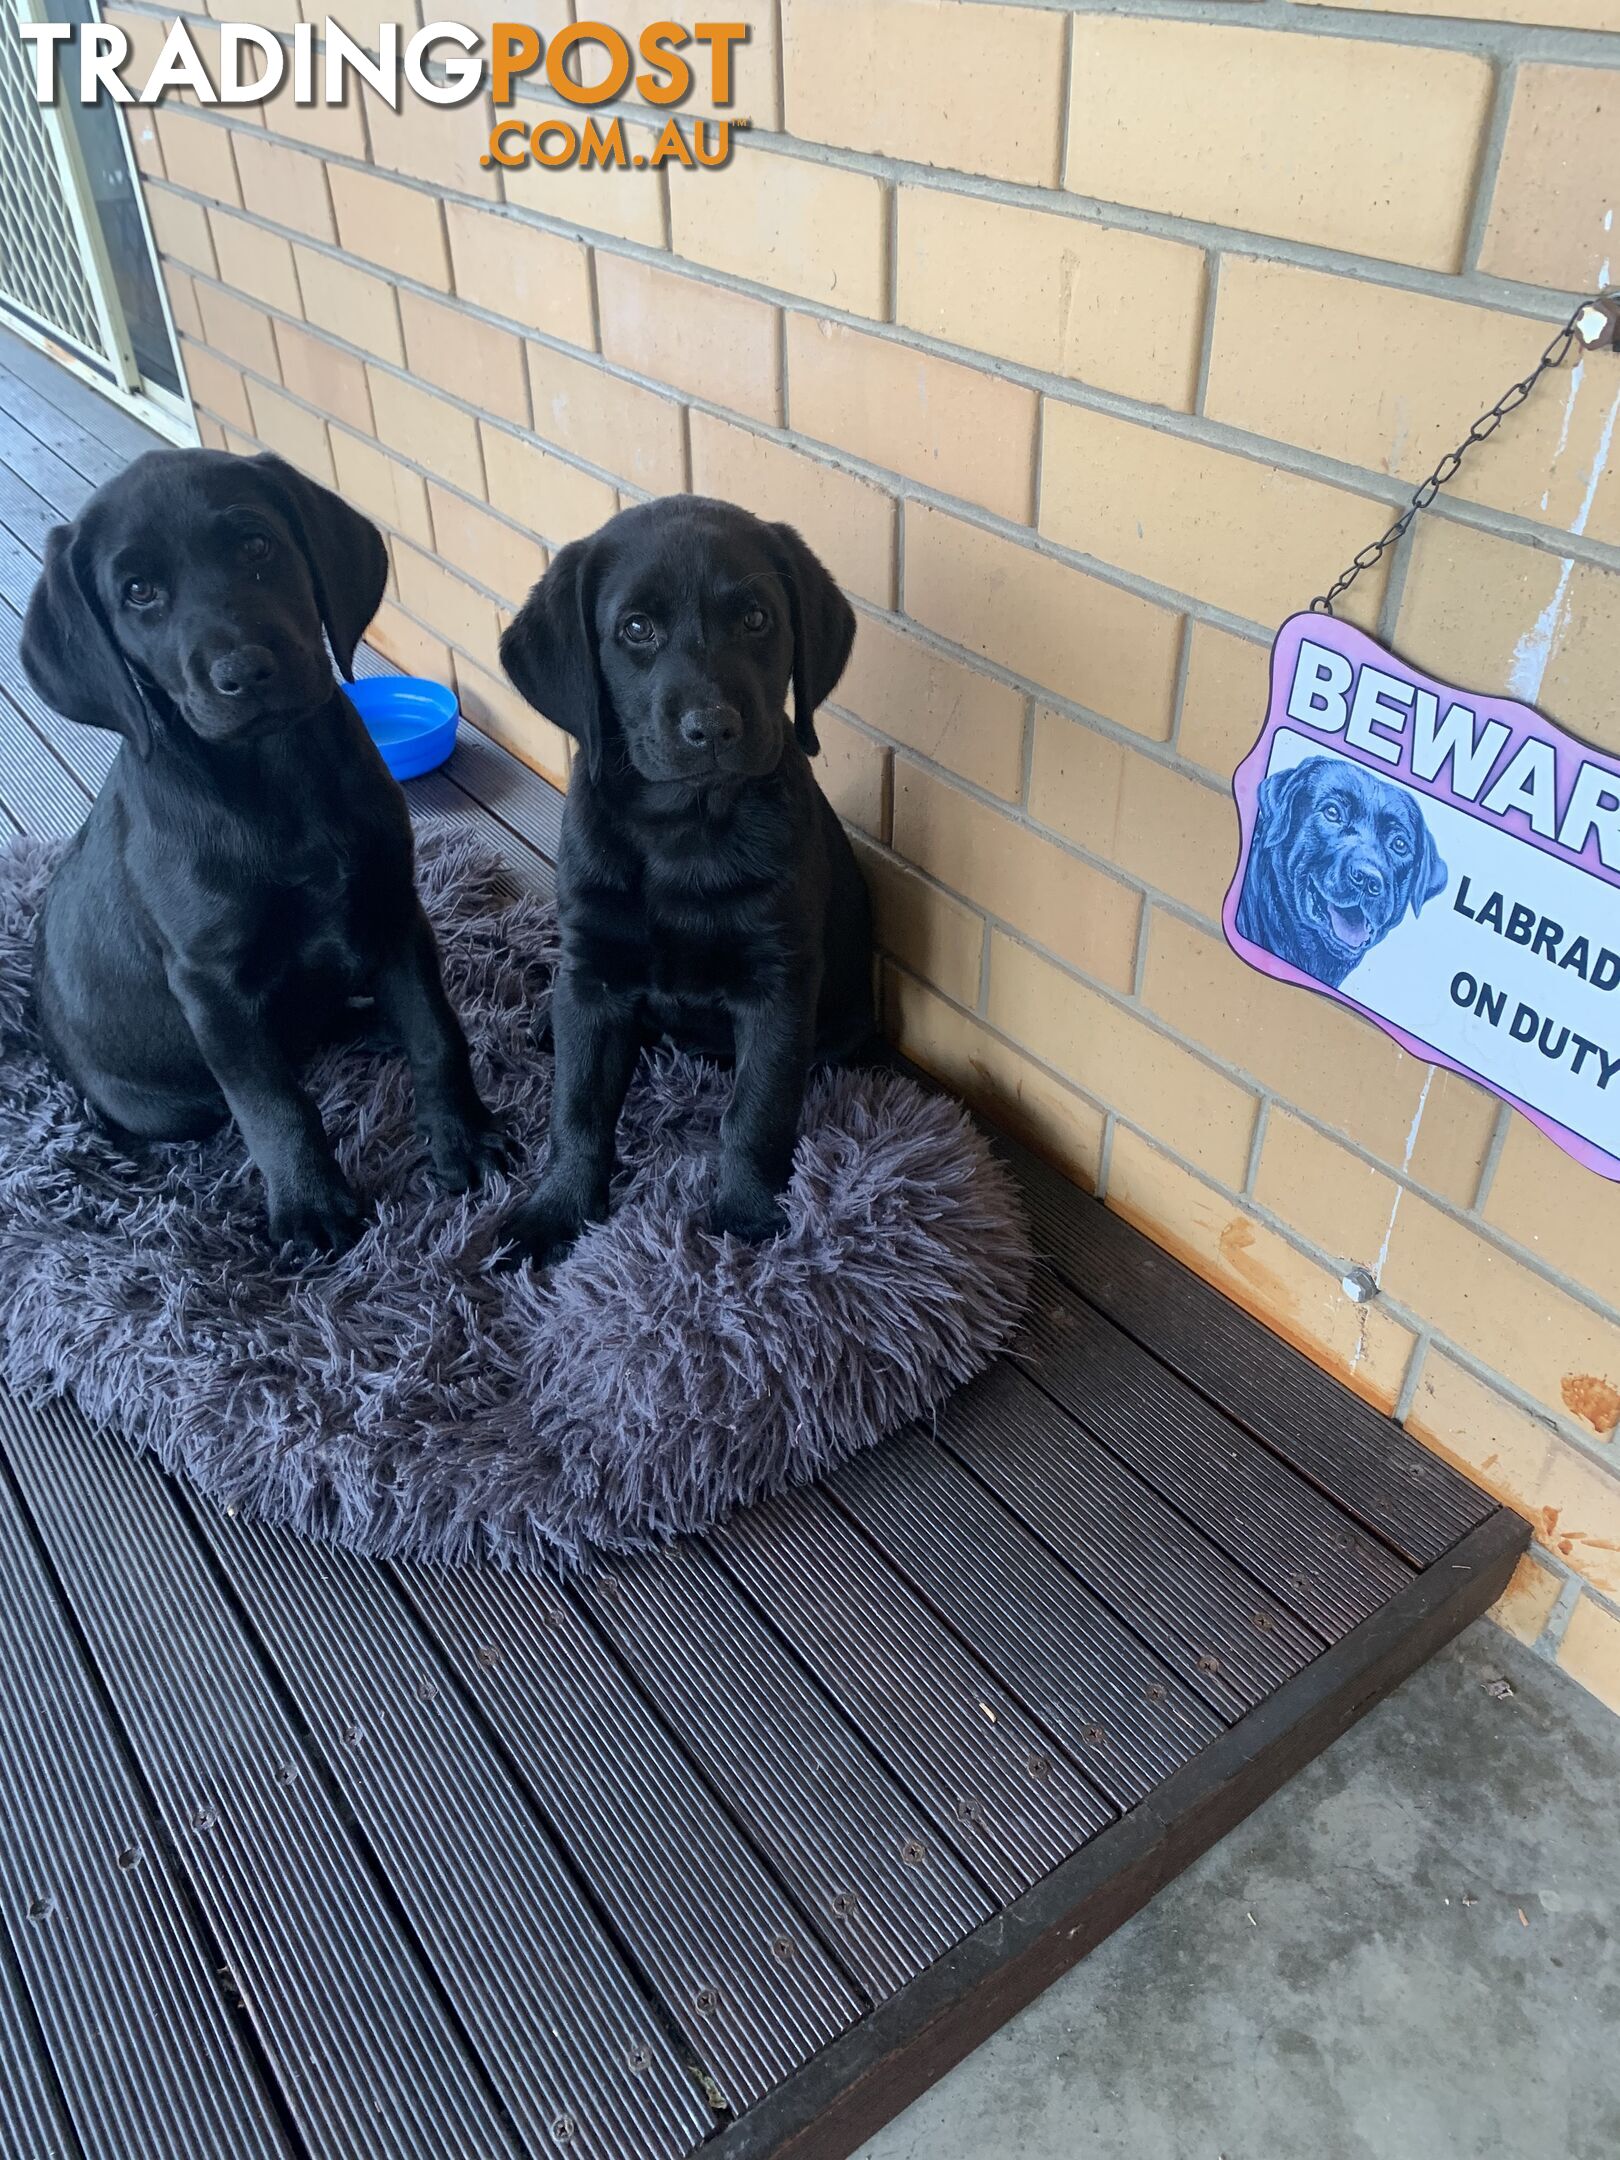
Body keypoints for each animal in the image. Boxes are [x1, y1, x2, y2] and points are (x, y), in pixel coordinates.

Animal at [22, 444, 498, 1252]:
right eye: (138, 592)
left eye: (255, 546)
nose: (243, 672)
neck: (281, 777)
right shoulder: (210, 985)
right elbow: (271, 1100)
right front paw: (309, 1206)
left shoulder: (394, 911)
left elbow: (435, 1033)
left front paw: (461, 1135)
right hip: (164, 1104)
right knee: (254, 1082)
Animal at [501, 494, 876, 1261]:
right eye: (636, 629)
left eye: (757, 619)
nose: (713, 727)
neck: (683, 831)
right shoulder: (594, 971)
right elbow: (576, 1107)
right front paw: (558, 1208)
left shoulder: (778, 985)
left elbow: (757, 1110)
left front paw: (747, 1213)